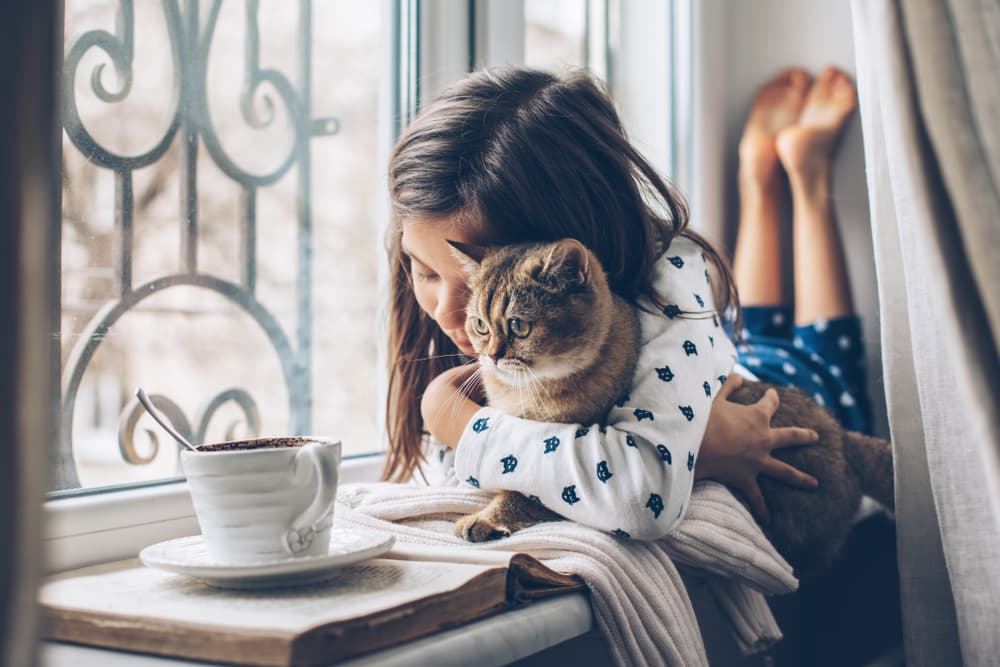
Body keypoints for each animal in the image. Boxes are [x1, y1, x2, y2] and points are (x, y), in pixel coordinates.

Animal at [450, 237, 896, 572]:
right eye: (480, 325)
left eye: (519, 326)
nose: (489, 355)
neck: (530, 391)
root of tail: (843, 436)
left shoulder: (568, 469)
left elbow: (522, 494)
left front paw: (485, 519)